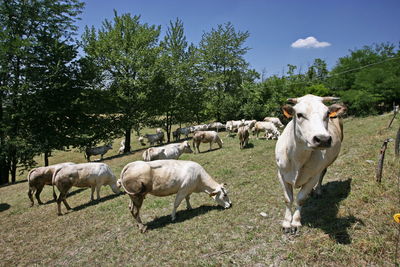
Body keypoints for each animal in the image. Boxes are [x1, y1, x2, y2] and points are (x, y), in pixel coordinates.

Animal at [274, 95, 346, 233]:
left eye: (327, 113)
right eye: (299, 114)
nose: (323, 139)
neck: (297, 158)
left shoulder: (313, 176)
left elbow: (300, 199)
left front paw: (295, 222)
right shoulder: (281, 174)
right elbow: (288, 199)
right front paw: (286, 223)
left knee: (322, 174)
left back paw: (317, 191)